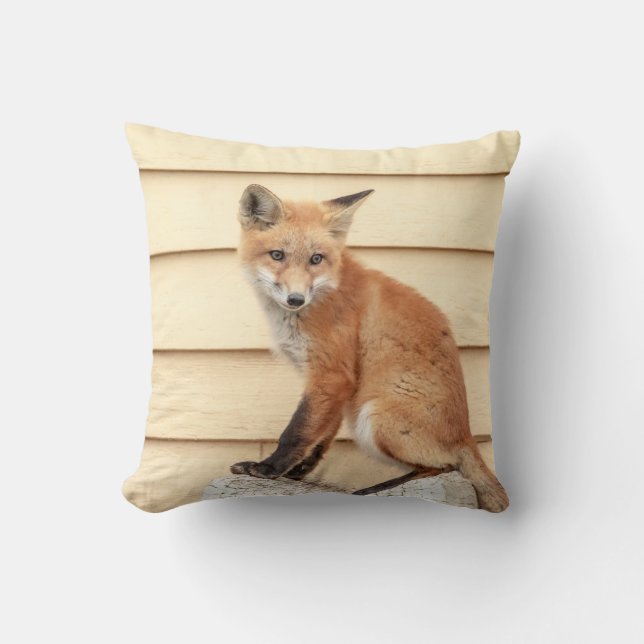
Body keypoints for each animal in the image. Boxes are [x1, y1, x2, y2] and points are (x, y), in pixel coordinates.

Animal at [230, 184, 509, 512]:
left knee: (444, 467)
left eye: (316, 259)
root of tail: (467, 436)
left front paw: (268, 469)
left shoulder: (331, 373)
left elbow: (297, 431)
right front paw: (297, 471)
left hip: (373, 418)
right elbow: (321, 434)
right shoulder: (336, 384)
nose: (296, 299)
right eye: (277, 255)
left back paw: (375, 489)